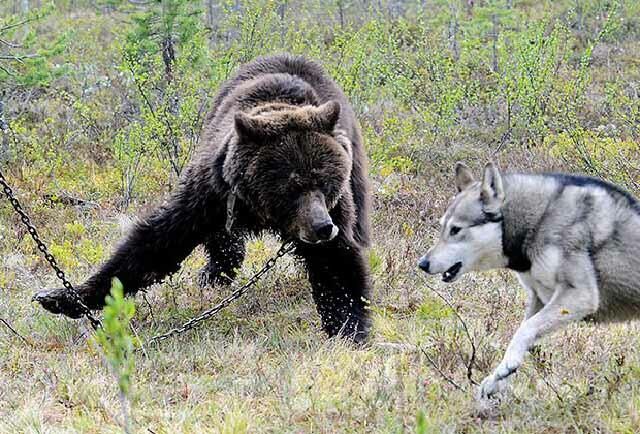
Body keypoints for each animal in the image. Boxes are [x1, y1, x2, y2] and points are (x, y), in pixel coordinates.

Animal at [35, 53, 372, 342]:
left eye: (324, 181)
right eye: (291, 187)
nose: (322, 227)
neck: (259, 210)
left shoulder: (334, 207)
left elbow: (337, 264)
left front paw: (349, 328)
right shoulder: (212, 193)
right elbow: (155, 243)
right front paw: (61, 296)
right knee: (222, 242)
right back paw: (214, 274)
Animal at [418, 162, 640, 400]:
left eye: (456, 230)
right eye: (442, 227)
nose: (422, 264)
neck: (539, 220)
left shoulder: (580, 296)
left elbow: (523, 331)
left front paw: (507, 368)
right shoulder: (540, 299)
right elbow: (523, 333)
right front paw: (496, 379)